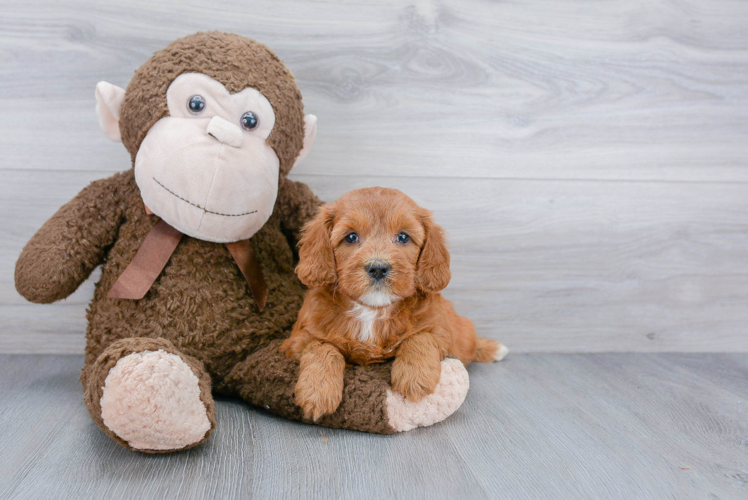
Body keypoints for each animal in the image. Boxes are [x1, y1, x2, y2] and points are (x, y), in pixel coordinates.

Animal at [280, 186, 508, 420]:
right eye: (351, 237)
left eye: (403, 237)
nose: (378, 268)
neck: (372, 310)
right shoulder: (297, 339)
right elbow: (322, 346)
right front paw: (317, 391)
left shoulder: (441, 331)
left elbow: (421, 336)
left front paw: (415, 377)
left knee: (469, 341)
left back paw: (493, 348)